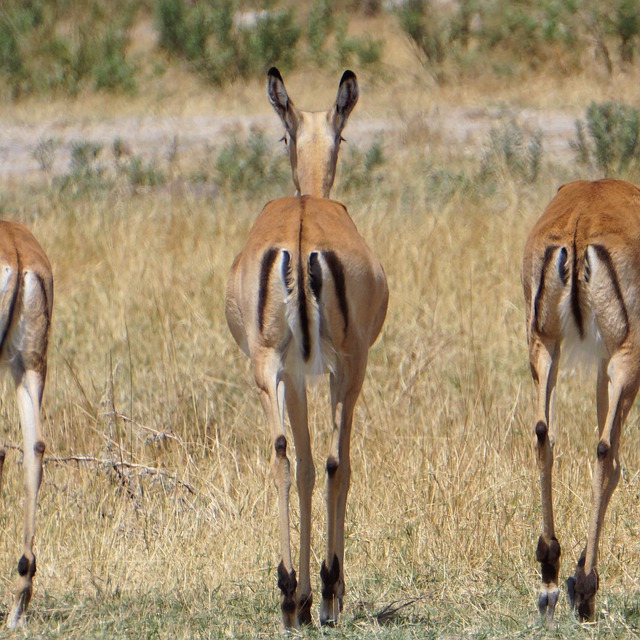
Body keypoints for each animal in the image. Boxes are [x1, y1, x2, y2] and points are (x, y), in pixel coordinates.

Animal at [225, 67, 388, 628]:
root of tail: (298, 236)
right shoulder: (341, 372)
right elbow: (334, 465)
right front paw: (325, 592)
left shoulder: (293, 375)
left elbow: (304, 465)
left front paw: (302, 593)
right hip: (349, 370)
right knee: (339, 461)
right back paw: (326, 590)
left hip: (266, 369)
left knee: (281, 453)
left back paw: (287, 592)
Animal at [524, 178, 640, 624]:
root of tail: (579, 225)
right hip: (627, 356)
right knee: (605, 452)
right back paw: (587, 588)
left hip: (544, 345)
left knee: (543, 434)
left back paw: (551, 580)